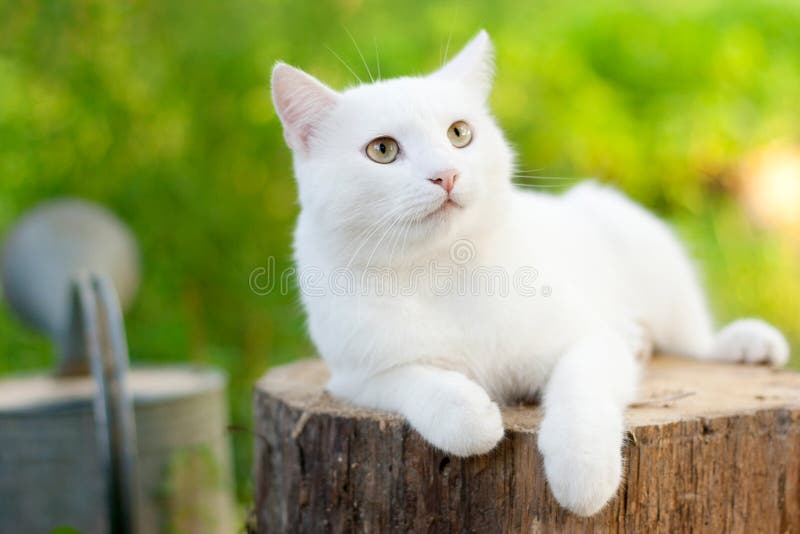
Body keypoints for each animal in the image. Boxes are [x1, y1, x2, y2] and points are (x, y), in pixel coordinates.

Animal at [268, 30, 788, 520]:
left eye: (459, 133)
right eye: (382, 150)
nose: (446, 175)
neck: (439, 268)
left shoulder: (591, 340)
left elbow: (581, 390)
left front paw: (583, 474)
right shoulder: (353, 379)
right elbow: (419, 383)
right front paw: (476, 419)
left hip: (648, 250)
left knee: (689, 335)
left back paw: (740, 343)